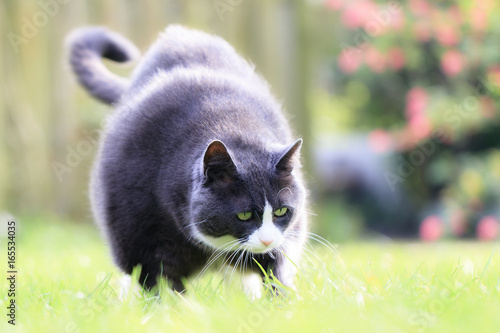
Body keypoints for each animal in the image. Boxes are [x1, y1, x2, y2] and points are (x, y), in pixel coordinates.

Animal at [66, 25, 308, 294]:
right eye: (244, 215)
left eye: (282, 211)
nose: (267, 240)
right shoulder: (141, 239)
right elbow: (159, 281)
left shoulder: (281, 243)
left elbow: (276, 273)